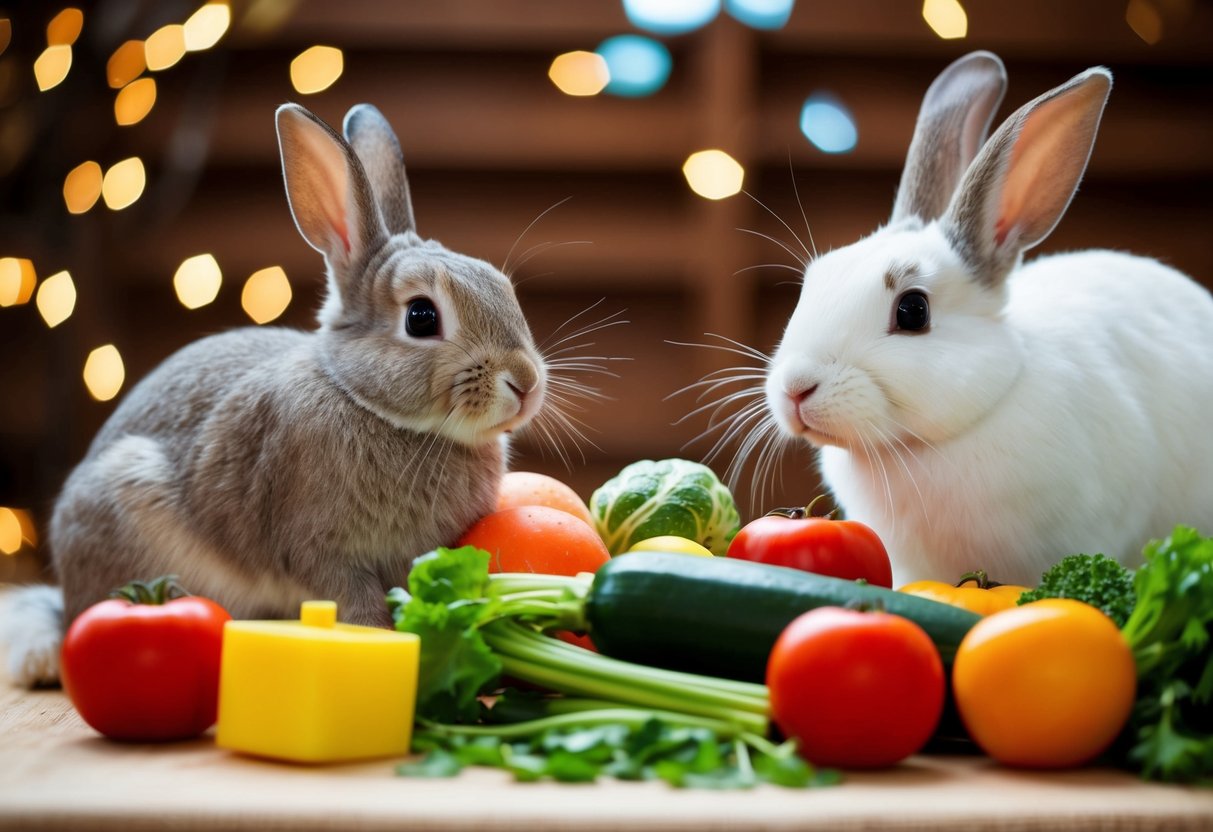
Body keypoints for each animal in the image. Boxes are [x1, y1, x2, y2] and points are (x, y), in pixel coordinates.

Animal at [4, 102, 546, 686]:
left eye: (504, 288)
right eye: (421, 318)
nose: (525, 383)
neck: (365, 402)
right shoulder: (317, 549)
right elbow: (354, 601)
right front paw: (378, 642)